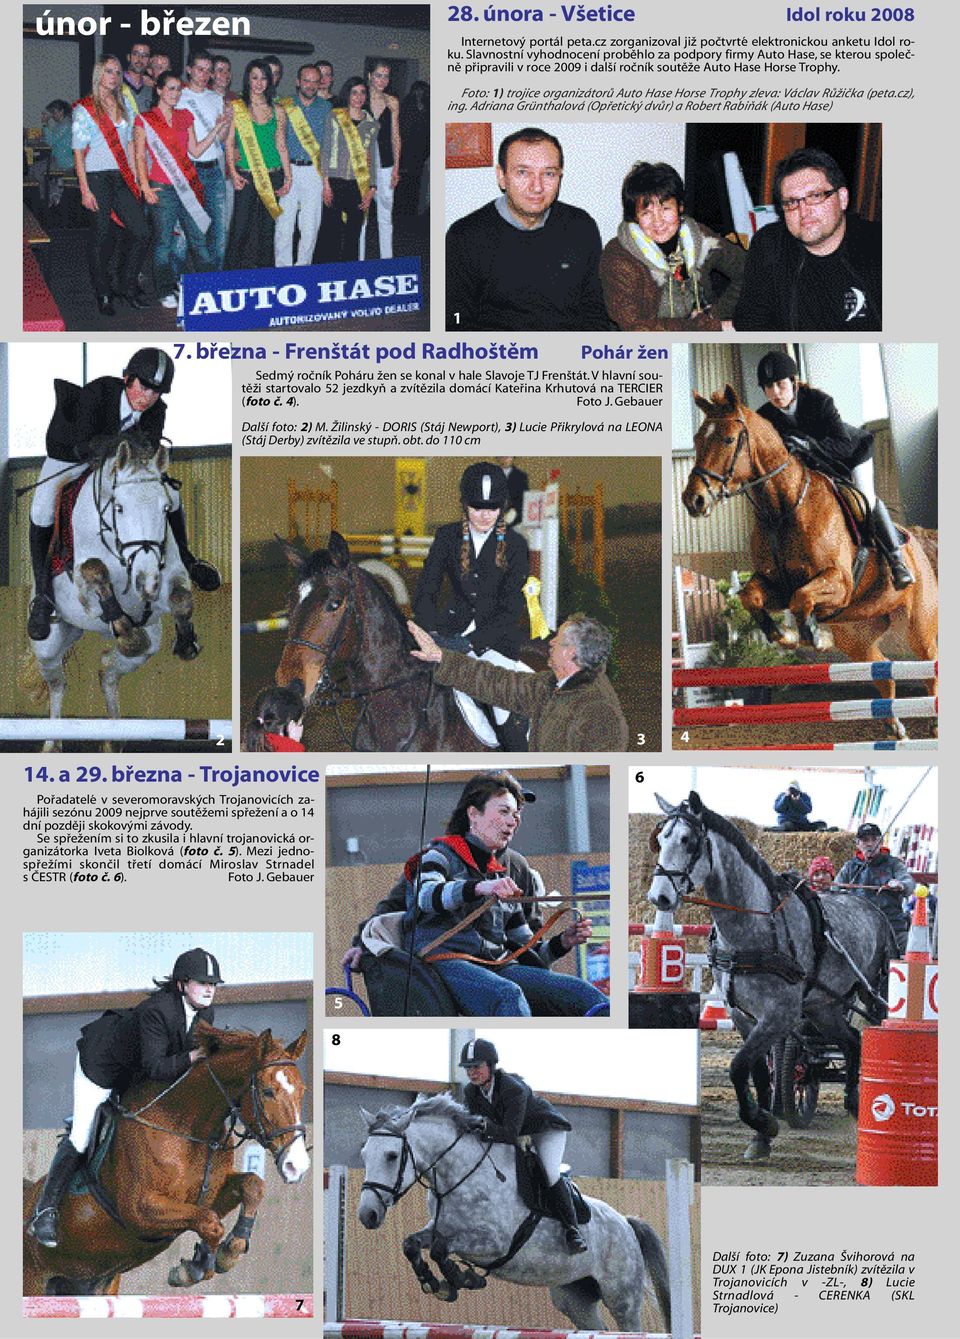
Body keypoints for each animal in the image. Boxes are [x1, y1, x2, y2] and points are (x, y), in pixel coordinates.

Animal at [23, 1022, 306, 1296]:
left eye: (302, 1091)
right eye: (268, 1092)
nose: (297, 1166)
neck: (186, 1127)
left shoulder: (209, 1197)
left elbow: (251, 1185)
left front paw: (228, 1252)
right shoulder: (140, 1209)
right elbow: (210, 1222)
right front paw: (195, 1268)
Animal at [358, 1092, 666, 1333]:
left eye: (391, 1156)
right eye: (363, 1154)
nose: (367, 1215)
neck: (458, 1175)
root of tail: (626, 1223)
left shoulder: (494, 1243)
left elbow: (441, 1249)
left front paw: (461, 1279)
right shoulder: (440, 1228)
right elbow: (412, 1243)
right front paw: (434, 1283)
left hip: (621, 1297)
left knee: (628, 1325)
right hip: (574, 1297)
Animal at [648, 792, 894, 1162]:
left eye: (688, 840)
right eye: (660, 839)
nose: (659, 896)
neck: (754, 929)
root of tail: (872, 907)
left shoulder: (780, 1015)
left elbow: (738, 1066)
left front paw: (764, 1122)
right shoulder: (743, 1015)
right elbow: (759, 1073)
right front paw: (761, 1134)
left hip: (872, 993)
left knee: (873, 1034)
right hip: (823, 1007)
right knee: (852, 1041)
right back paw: (852, 1102)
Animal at [682, 388, 937, 739]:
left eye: (729, 439)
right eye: (696, 439)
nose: (693, 500)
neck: (782, 510)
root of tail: (918, 545)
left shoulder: (839, 583)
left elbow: (801, 597)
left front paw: (809, 635)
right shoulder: (774, 584)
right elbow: (752, 597)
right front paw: (785, 636)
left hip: (919, 628)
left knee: (930, 670)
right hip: (857, 632)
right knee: (882, 670)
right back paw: (895, 728)